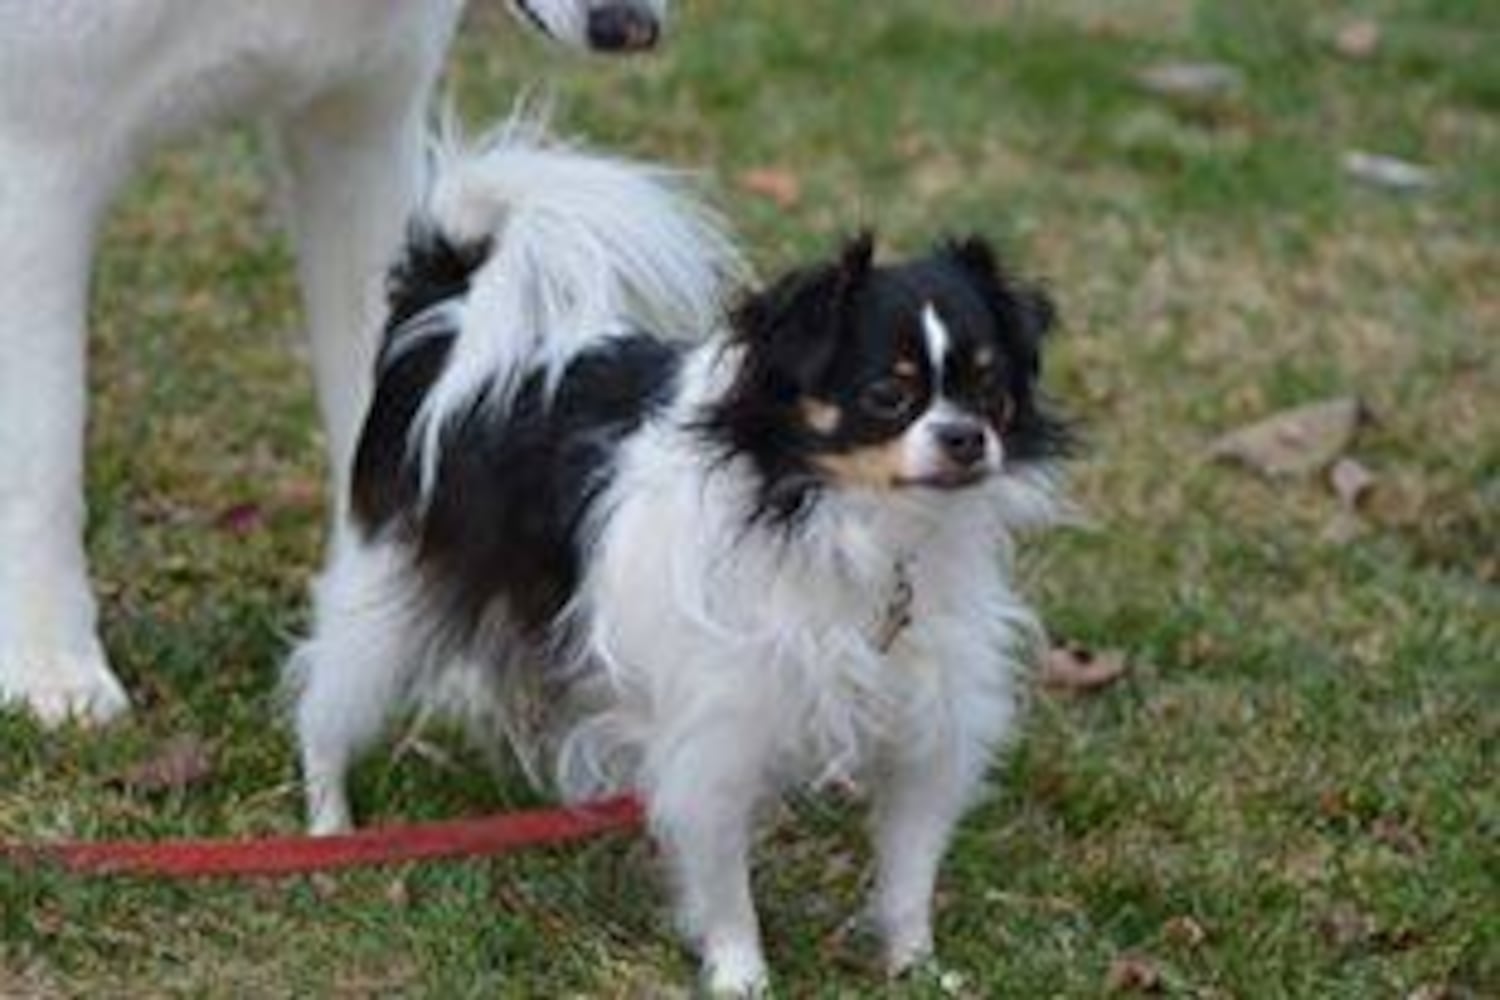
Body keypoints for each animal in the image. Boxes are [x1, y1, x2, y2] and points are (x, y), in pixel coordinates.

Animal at [286, 117, 1074, 995]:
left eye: (988, 389)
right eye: (887, 395)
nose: (967, 438)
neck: (856, 525)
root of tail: (451, 321)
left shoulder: (928, 728)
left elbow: (909, 872)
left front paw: (916, 966)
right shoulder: (716, 741)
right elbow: (725, 880)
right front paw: (741, 975)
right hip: (385, 592)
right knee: (324, 702)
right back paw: (330, 828)